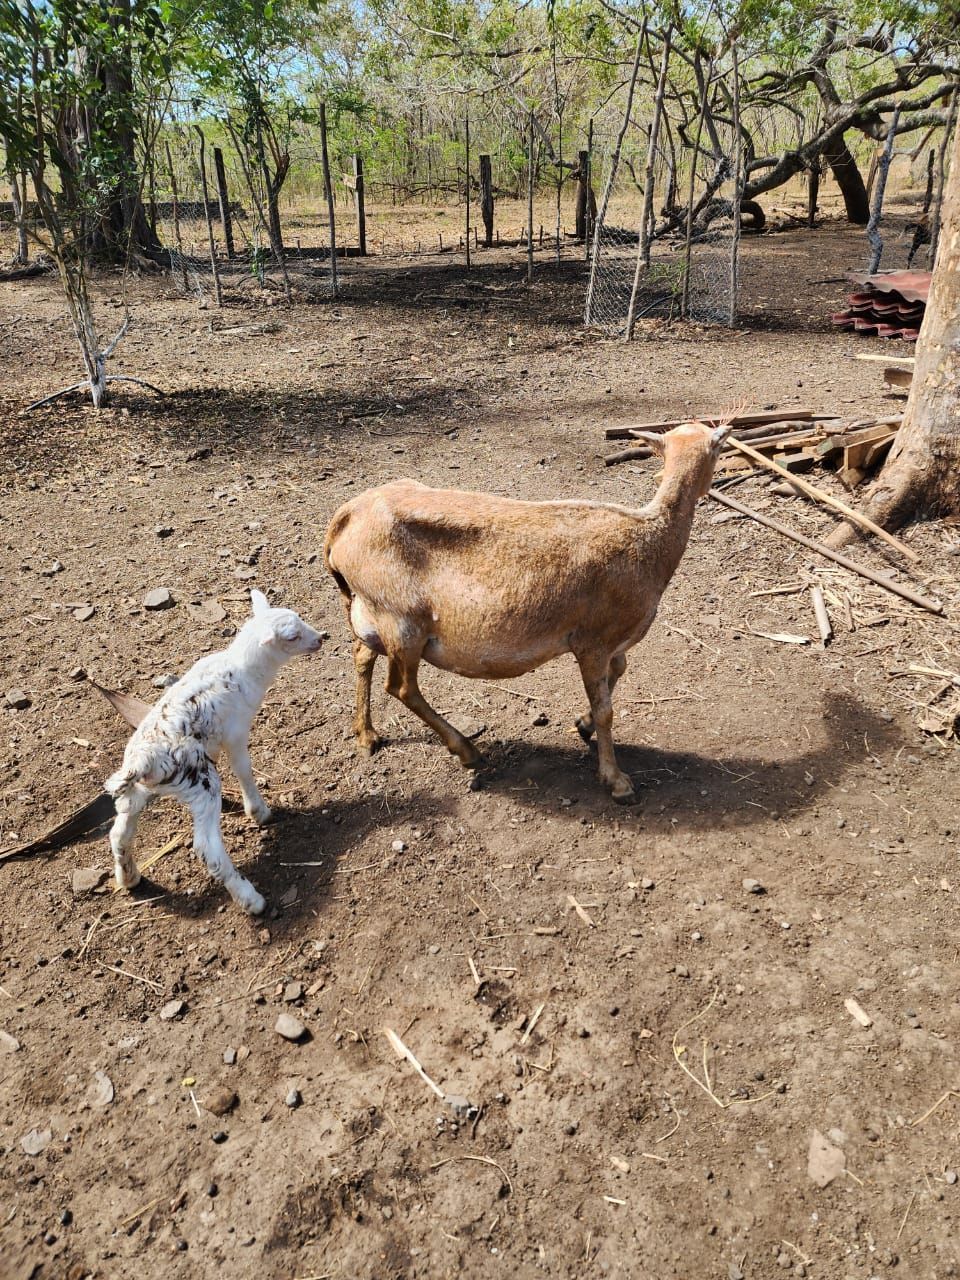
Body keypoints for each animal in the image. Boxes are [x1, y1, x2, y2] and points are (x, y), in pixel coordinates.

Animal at [105, 589, 323, 913]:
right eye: (293, 636)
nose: (321, 638)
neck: (244, 669)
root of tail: (142, 761)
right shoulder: (236, 732)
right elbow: (244, 769)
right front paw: (258, 811)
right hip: (200, 783)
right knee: (207, 848)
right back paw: (251, 900)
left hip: (140, 791)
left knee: (119, 834)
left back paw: (129, 877)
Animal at [324, 419, 730, 802]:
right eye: (717, 447)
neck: (651, 538)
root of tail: (345, 518)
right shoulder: (593, 641)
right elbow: (606, 709)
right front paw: (616, 781)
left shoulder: (612, 642)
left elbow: (618, 673)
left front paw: (583, 725)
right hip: (402, 620)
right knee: (402, 687)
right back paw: (466, 750)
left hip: (370, 611)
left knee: (362, 655)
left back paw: (367, 734)